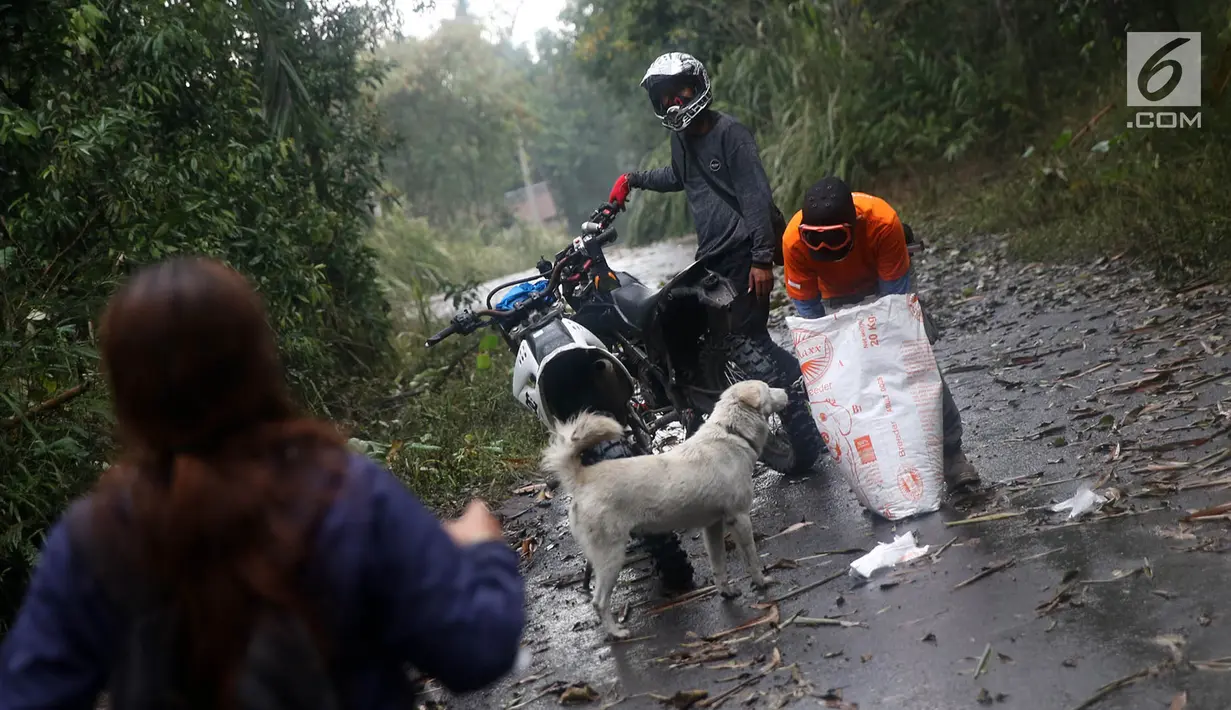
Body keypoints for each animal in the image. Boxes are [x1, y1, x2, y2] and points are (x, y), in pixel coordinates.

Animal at [541, 378, 787, 639]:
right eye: (768, 388)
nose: (787, 390)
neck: (731, 434)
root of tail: (582, 478)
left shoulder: (712, 526)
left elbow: (718, 565)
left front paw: (726, 592)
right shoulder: (739, 519)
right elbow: (752, 558)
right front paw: (761, 582)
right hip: (611, 557)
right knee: (598, 602)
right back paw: (617, 632)